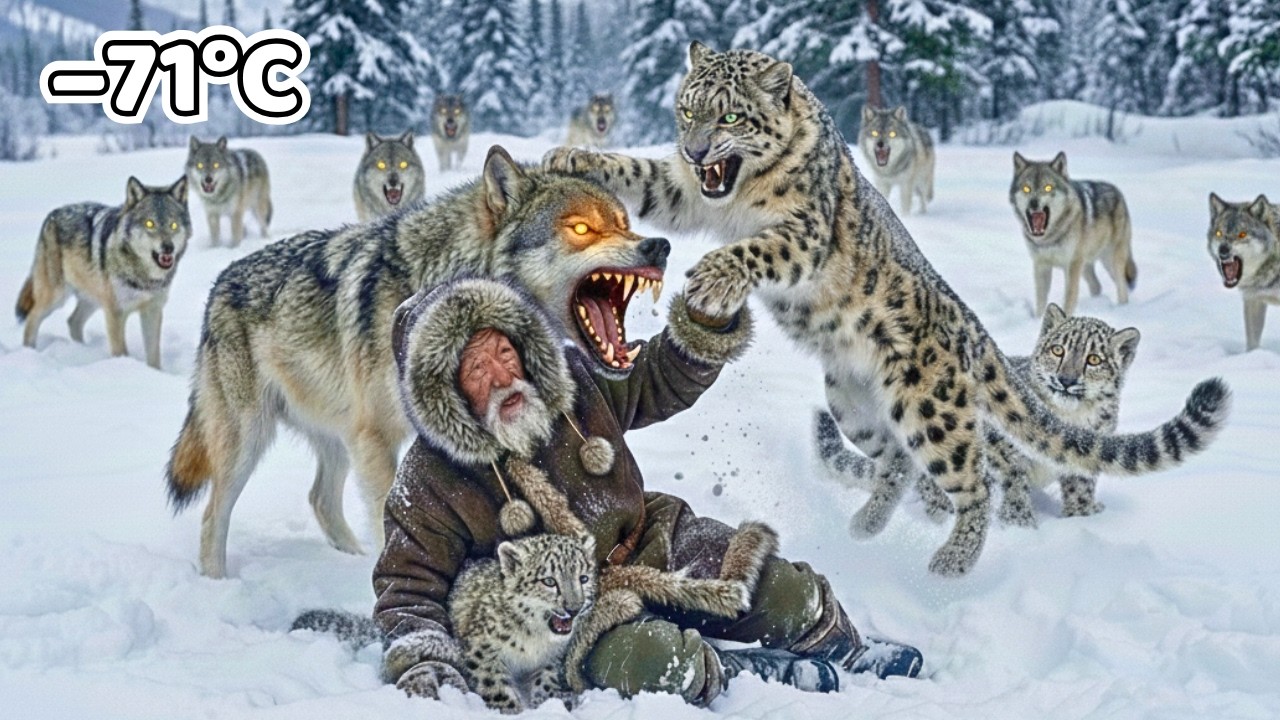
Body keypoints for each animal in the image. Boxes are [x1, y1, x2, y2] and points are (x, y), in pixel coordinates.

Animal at [542, 41, 1231, 576]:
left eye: (731, 114)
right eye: (686, 109)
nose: (694, 150)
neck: (735, 193)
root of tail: (969, 328)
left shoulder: (803, 232)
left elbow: (759, 247)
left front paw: (714, 273)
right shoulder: (685, 191)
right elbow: (643, 175)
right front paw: (573, 158)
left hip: (932, 408)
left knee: (975, 479)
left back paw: (952, 561)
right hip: (854, 402)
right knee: (896, 461)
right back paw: (867, 525)